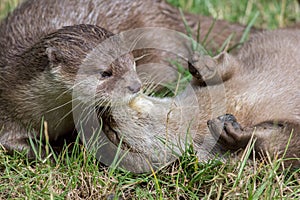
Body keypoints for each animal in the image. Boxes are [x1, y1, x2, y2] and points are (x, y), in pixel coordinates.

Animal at [101, 28, 300, 173]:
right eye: (115, 135)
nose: (105, 115)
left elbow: (228, 66)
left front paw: (204, 66)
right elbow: (280, 147)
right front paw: (230, 130)